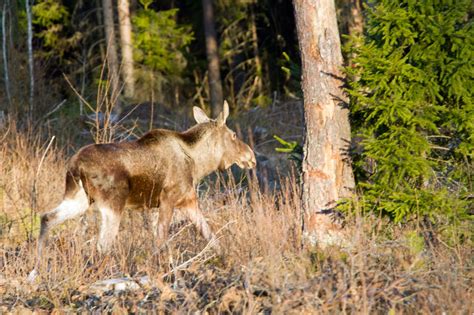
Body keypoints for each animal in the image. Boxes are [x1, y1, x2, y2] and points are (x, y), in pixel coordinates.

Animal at [26, 102, 256, 282]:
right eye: (234, 135)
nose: (251, 156)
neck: (199, 163)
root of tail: (76, 166)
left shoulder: (186, 202)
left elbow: (210, 236)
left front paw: (227, 261)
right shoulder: (168, 199)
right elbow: (161, 239)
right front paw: (164, 274)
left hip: (79, 199)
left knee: (46, 217)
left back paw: (36, 269)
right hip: (113, 204)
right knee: (102, 245)